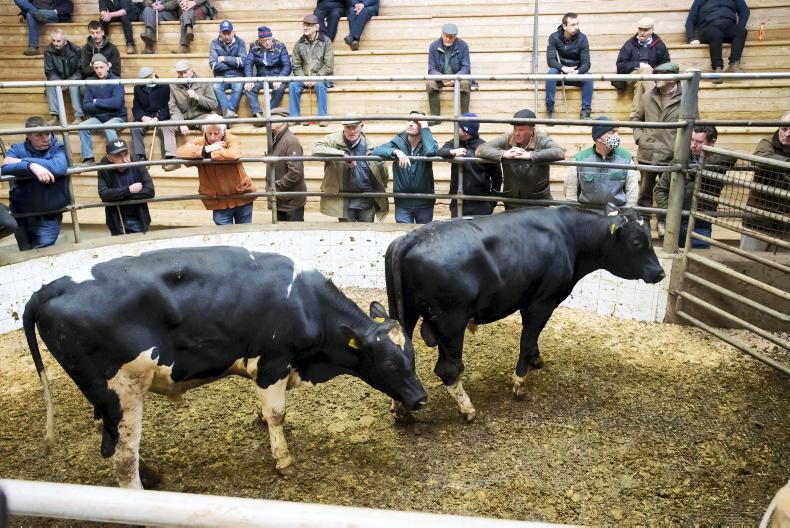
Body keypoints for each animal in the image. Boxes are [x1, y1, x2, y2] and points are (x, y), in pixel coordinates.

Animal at [24, 246, 427, 488]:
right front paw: (283, 460)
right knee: (123, 458)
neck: (304, 304)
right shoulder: (274, 362)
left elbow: (267, 412)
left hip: (106, 399)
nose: (421, 398)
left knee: (115, 445)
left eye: (411, 356)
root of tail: (54, 286)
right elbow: (277, 413)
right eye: (390, 363)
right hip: (123, 391)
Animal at [385, 206, 665, 422]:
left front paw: (536, 359)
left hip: (404, 313)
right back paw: (468, 409)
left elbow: (532, 338)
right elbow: (527, 338)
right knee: (448, 369)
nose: (660, 273)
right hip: (451, 321)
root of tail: (409, 238)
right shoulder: (543, 302)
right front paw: (519, 383)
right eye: (637, 242)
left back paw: (401, 411)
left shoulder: (527, 299)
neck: (569, 235)